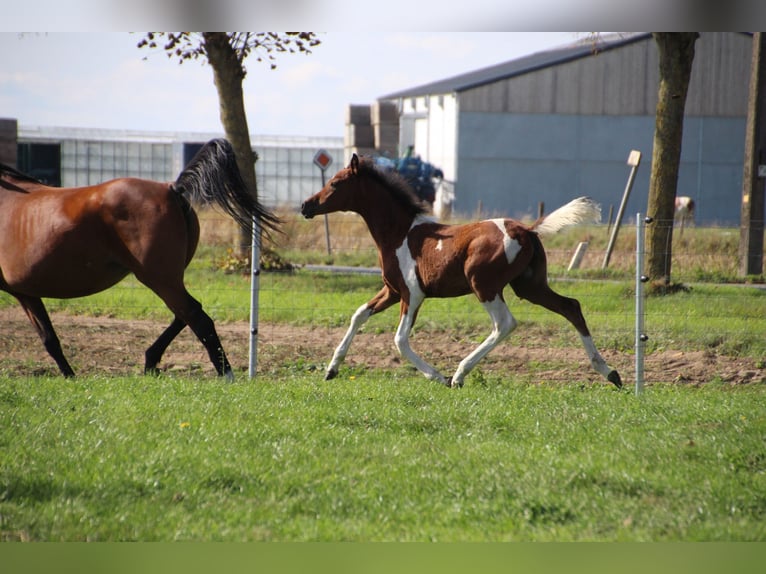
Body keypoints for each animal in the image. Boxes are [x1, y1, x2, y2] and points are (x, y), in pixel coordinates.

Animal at [0, 138, 279, 379]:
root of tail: (171, 188)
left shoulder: (22, 292)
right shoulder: (26, 292)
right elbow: (50, 338)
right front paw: (71, 377)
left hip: (158, 277)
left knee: (197, 317)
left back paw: (225, 374)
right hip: (168, 278)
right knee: (185, 314)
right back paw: (151, 362)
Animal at [301, 154, 622, 389]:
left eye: (335, 183)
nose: (305, 205)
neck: (399, 233)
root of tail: (527, 230)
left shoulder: (412, 294)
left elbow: (400, 339)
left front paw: (437, 376)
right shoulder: (392, 291)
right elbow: (358, 315)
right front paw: (331, 369)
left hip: (485, 286)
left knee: (505, 324)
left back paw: (458, 375)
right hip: (530, 286)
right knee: (571, 307)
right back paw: (610, 373)